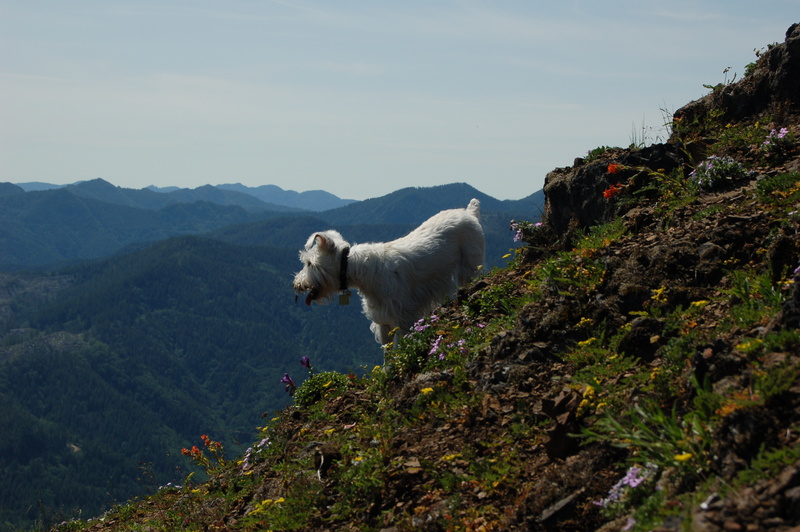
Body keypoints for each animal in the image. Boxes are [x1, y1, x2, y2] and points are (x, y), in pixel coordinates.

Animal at [293, 199, 485, 345]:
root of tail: (469, 213)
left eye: (309, 263)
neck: (360, 270)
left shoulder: (402, 317)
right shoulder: (383, 322)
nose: (296, 284)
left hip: (470, 265)